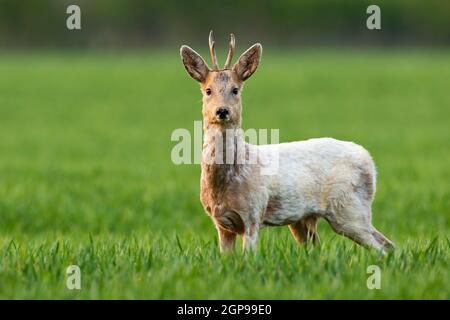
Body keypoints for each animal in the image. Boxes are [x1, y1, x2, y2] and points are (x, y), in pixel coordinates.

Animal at [179, 31, 394, 254]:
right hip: (305, 220)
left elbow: (249, 254)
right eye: (208, 90)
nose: (222, 111)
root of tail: (369, 161)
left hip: (349, 207)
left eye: (235, 90)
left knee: (384, 246)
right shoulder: (221, 222)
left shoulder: (253, 212)